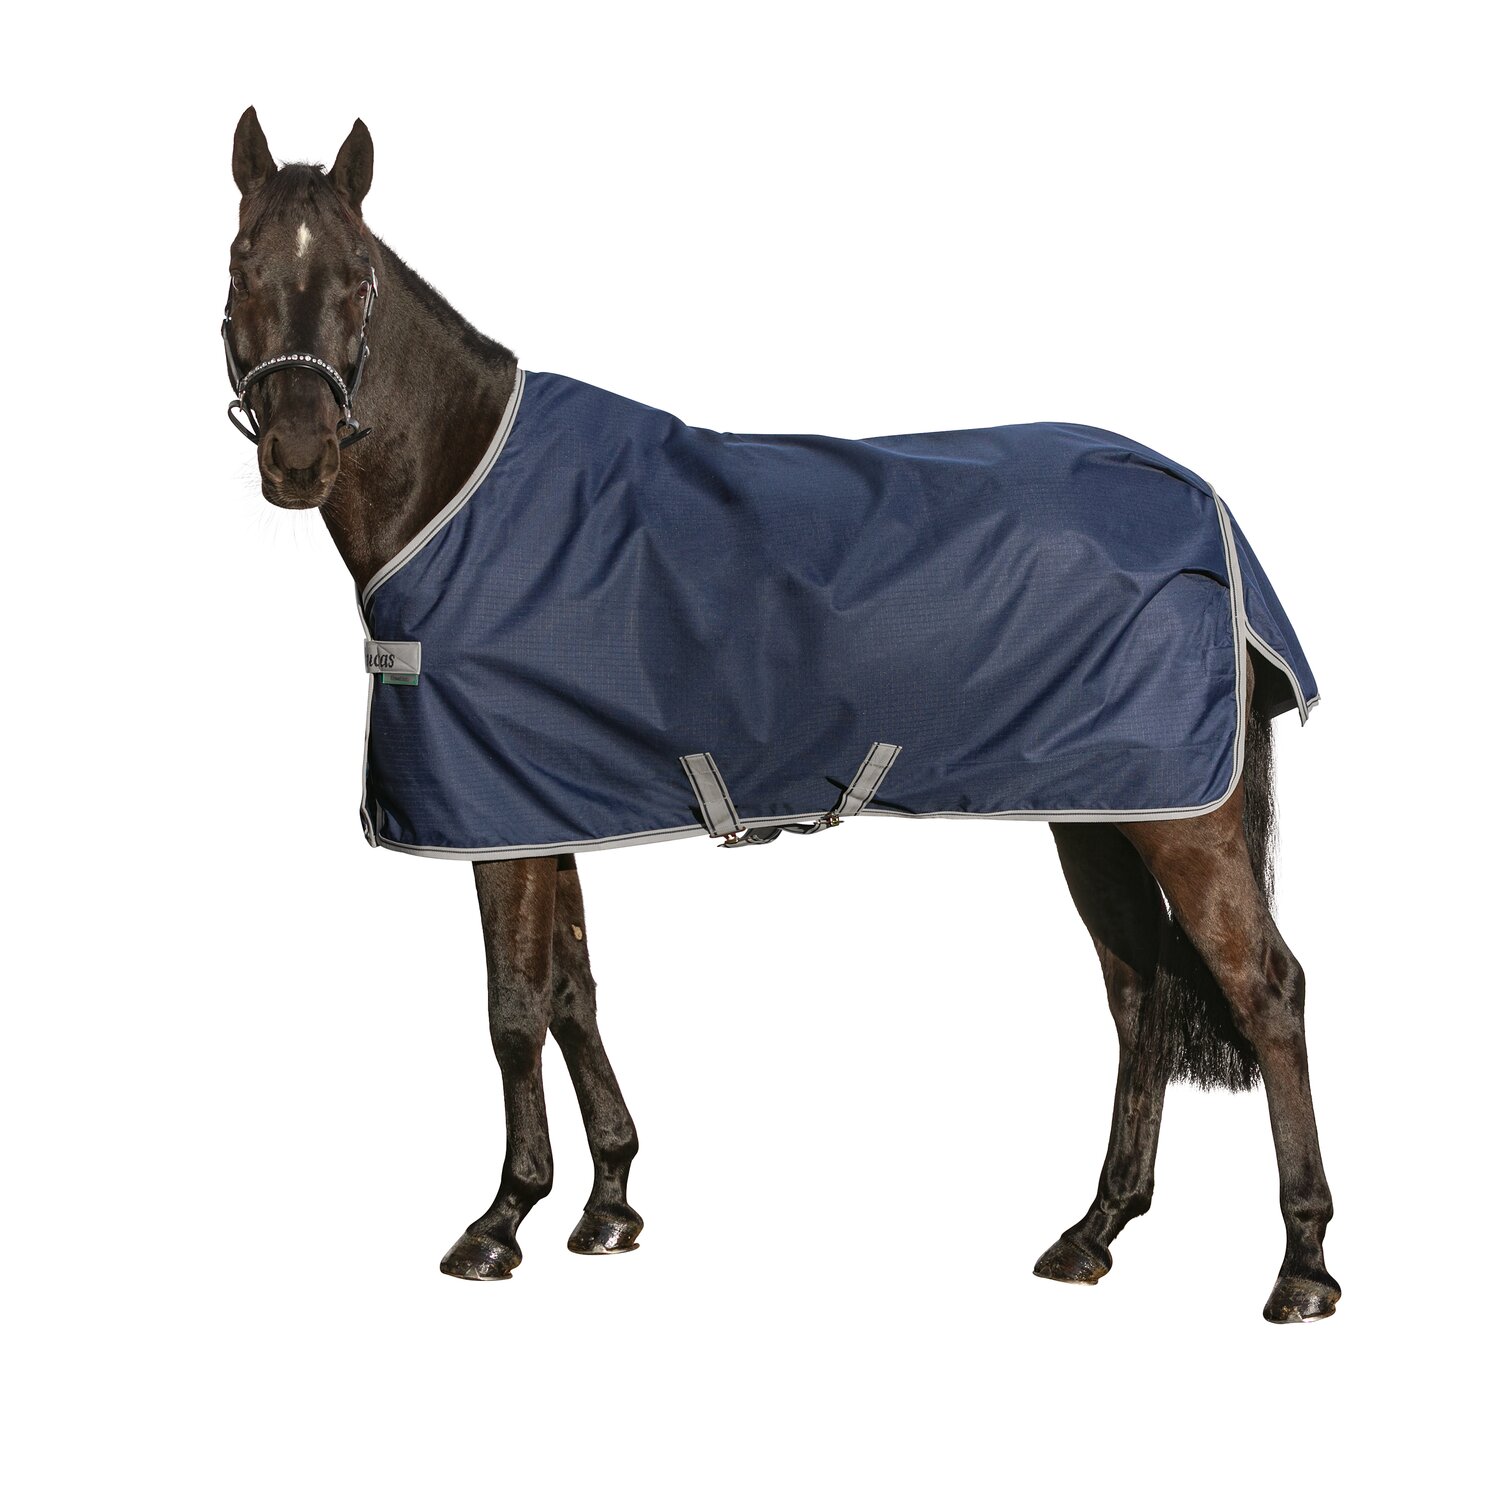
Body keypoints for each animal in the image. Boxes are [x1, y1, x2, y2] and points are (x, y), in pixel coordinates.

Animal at [222, 108, 1338, 1322]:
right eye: (242, 267)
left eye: (357, 275)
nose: (296, 457)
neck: (465, 489)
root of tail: (1203, 500)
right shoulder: (543, 806)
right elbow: (573, 993)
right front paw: (608, 1204)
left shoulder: (495, 813)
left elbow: (513, 1009)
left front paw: (500, 1221)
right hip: (1096, 810)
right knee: (1139, 992)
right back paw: (1094, 1232)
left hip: (1180, 819)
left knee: (1266, 990)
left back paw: (1303, 1267)